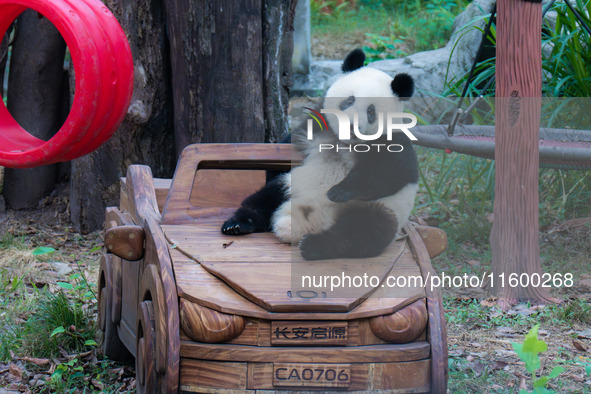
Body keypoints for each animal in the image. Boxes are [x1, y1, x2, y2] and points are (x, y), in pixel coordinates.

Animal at [220, 48, 418, 262]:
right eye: (350, 100)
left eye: (371, 111)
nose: (352, 126)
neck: (345, 143)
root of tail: (309, 222)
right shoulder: (316, 127)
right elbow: (283, 151)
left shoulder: (394, 141)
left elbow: (389, 172)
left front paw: (338, 191)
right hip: (293, 184)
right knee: (265, 198)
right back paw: (237, 224)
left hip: (382, 209)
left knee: (363, 231)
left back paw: (315, 245)